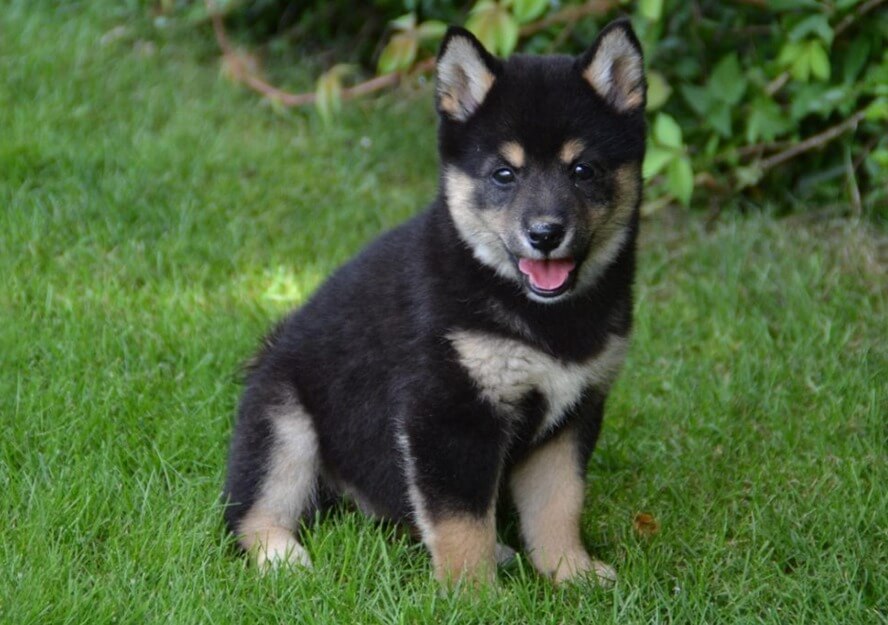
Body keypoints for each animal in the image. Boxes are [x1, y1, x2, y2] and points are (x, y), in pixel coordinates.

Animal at [222, 19, 644, 584]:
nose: (545, 234)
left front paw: (570, 573)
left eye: (584, 170)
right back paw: (281, 557)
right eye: (504, 174)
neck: (541, 315)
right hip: (283, 421)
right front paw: (474, 594)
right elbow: (460, 519)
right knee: (251, 510)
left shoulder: (573, 413)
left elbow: (559, 503)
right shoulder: (447, 411)